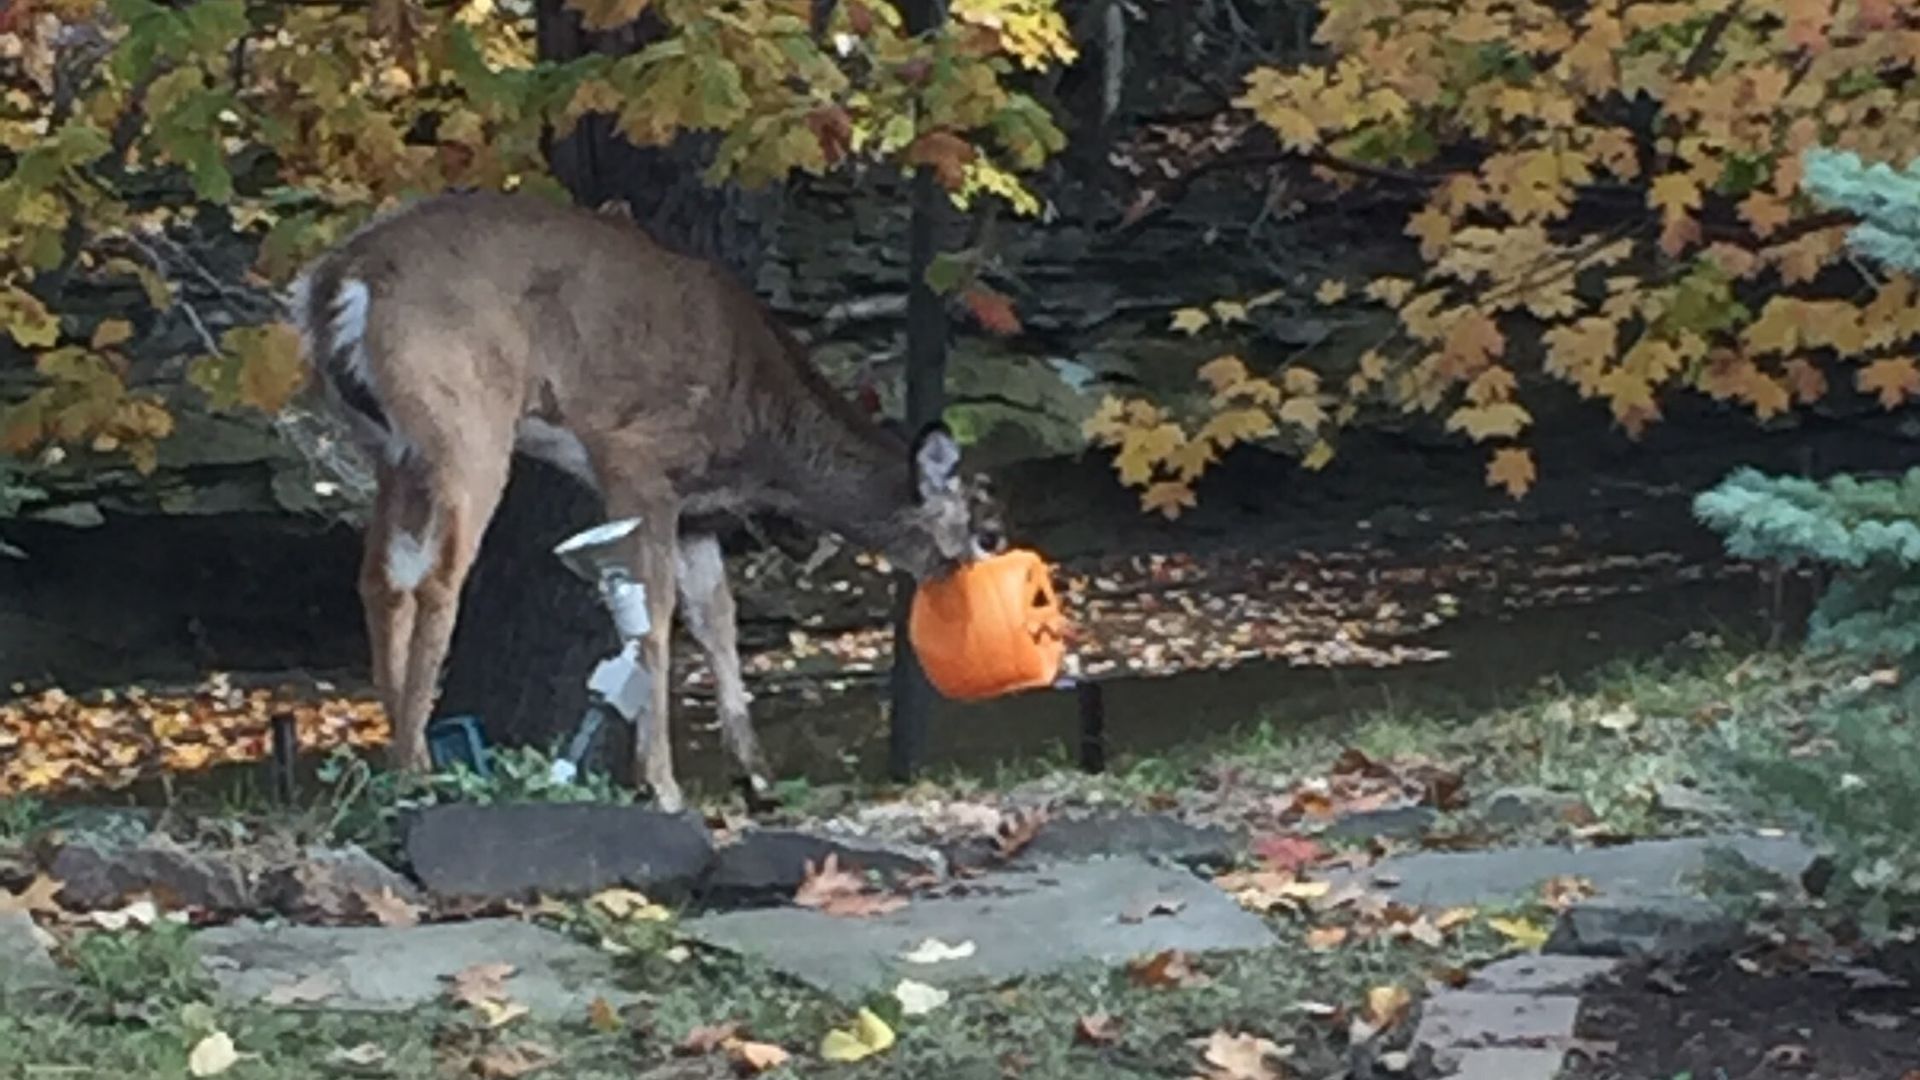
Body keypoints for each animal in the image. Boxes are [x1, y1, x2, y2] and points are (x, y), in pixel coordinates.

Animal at [287, 190, 1008, 812]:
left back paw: (390, 763)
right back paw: (418, 769)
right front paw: (662, 786)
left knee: (382, 577)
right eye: (990, 532)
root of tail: (341, 280)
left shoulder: (695, 513)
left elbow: (717, 618)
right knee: (439, 578)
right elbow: (655, 617)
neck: (761, 433)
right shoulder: (635, 461)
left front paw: (757, 777)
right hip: (466, 425)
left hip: (391, 448)